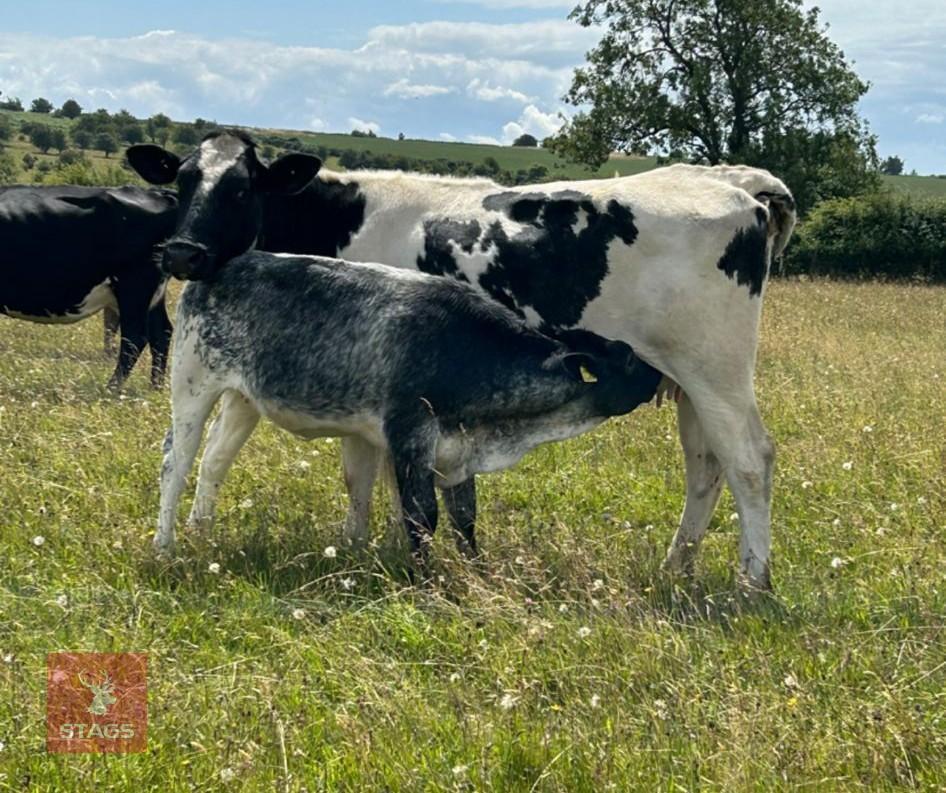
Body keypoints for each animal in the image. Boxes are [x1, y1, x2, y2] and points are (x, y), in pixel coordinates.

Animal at [0, 184, 178, 389]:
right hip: (151, 294)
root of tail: (158, 193)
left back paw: (112, 388)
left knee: (136, 337)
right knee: (161, 333)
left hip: (135, 286)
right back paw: (155, 387)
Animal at [128, 132, 796, 589]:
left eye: (242, 187)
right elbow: (241, 459)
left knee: (749, 463)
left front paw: (377, 552)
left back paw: (752, 581)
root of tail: (733, 181)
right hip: (692, 384)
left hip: (716, 372)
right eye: (179, 183)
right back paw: (676, 566)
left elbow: (372, 476)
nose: (183, 254)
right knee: (706, 467)